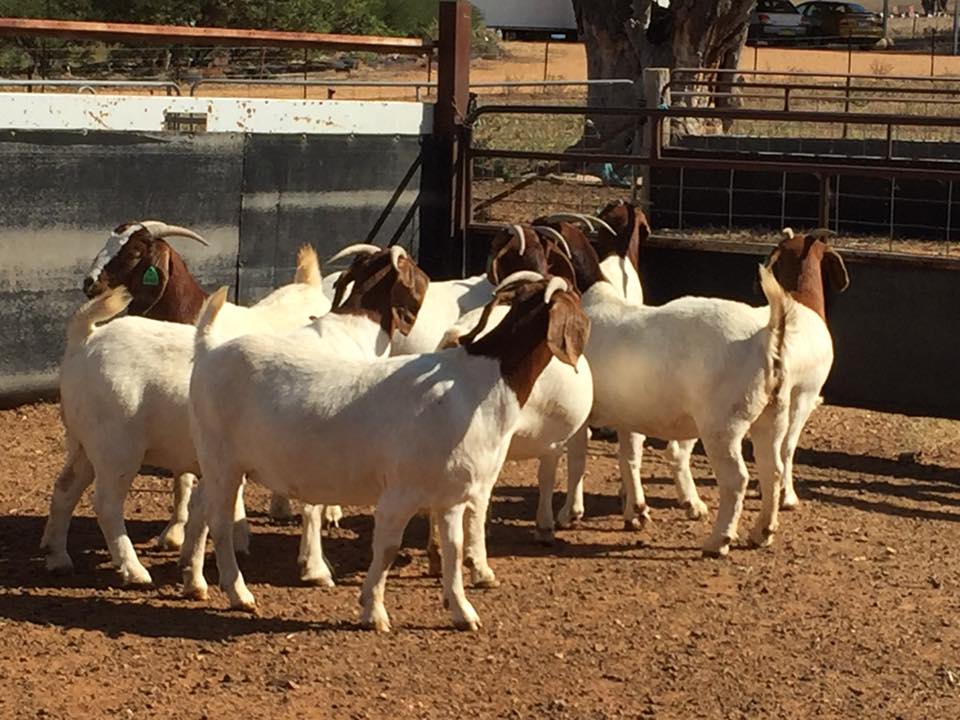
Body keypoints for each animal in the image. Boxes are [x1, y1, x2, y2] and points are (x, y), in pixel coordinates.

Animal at [181, 272, 588, 631]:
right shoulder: (400, 491)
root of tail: (209, 350)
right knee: (218, 520)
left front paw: (462, 612)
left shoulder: (449, 497)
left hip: (220, 463)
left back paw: (194, 582)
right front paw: (373, 612)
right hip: (221, 458)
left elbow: (454, 551)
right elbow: (389, 548)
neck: (480, 383)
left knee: (200, 508)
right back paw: (239, 594)